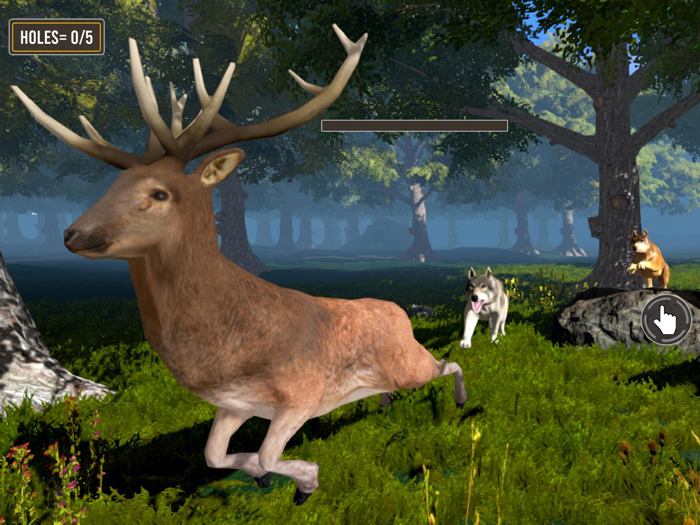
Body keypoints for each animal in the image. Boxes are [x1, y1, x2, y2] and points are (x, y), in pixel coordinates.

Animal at [11, 25, 467, 505]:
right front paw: (263, 475)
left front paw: (306, 481)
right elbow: (214, 455)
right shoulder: (233, 403)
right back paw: (382, 402)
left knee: (449, 363)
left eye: (160, 193)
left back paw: (457, 401)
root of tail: (401, 312)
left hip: (408, 363)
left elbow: (266, 453)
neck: (227, 349)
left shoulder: (302, 392)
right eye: (114, 183)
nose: (73, 234)